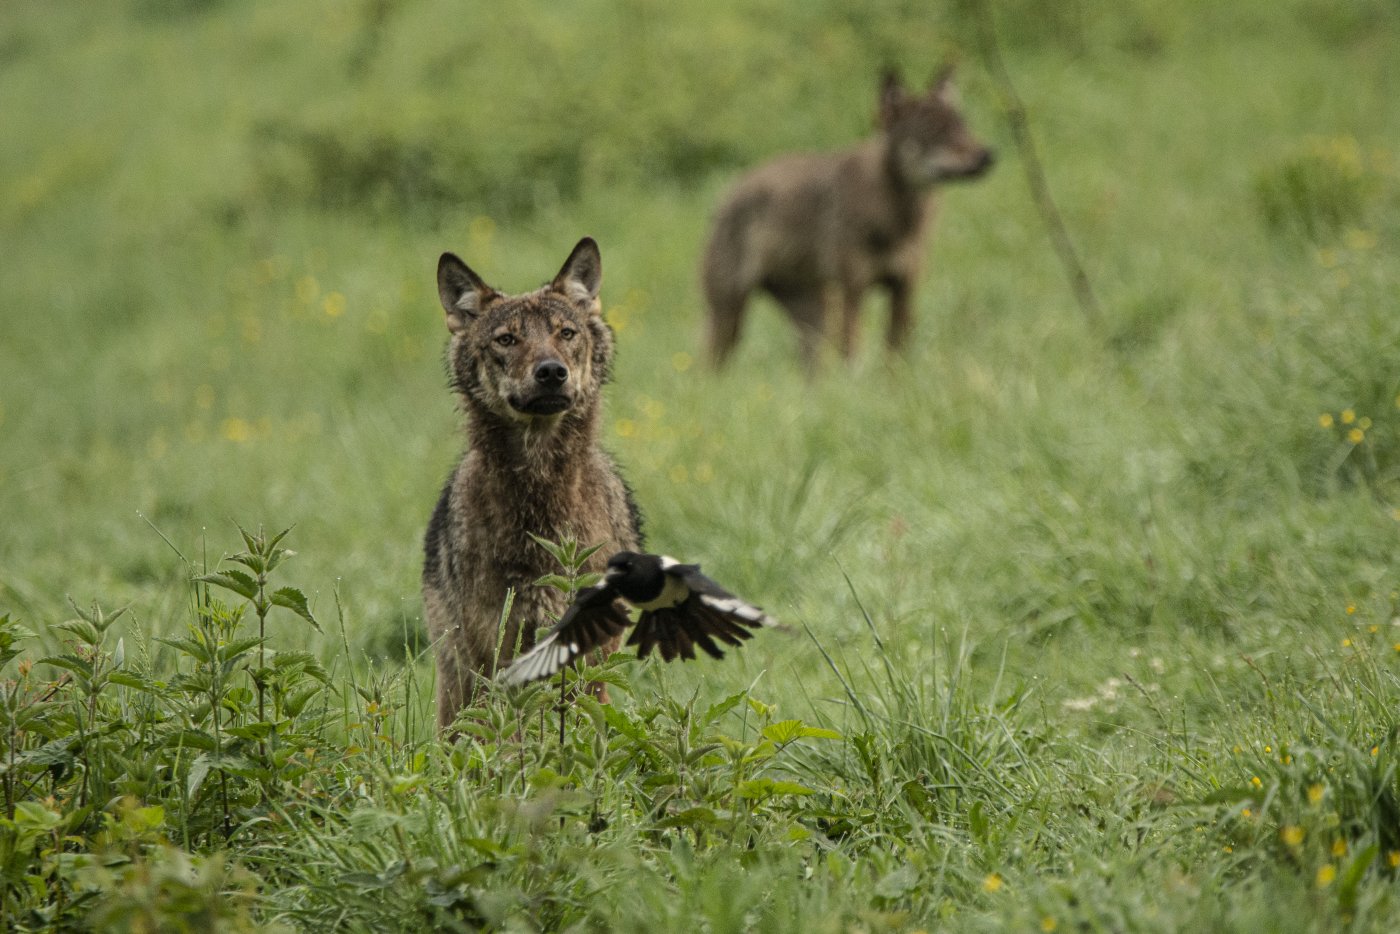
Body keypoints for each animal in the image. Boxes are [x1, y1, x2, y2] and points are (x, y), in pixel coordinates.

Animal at [422, 235, 641, 728]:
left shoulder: (592, 656)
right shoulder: (500, 654)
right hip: (458, 681)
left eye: (566, 333)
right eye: (507, 339)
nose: (551, 372)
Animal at [705, 63, 991, 364]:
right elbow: (852, 353)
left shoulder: (905, 288)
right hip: (728, 319)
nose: (987, 155)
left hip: (813, 319)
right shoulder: (853, 289)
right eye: (934, 131)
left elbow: (895, 357)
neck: (897, 219)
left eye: (963, 127)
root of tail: (729, 191)